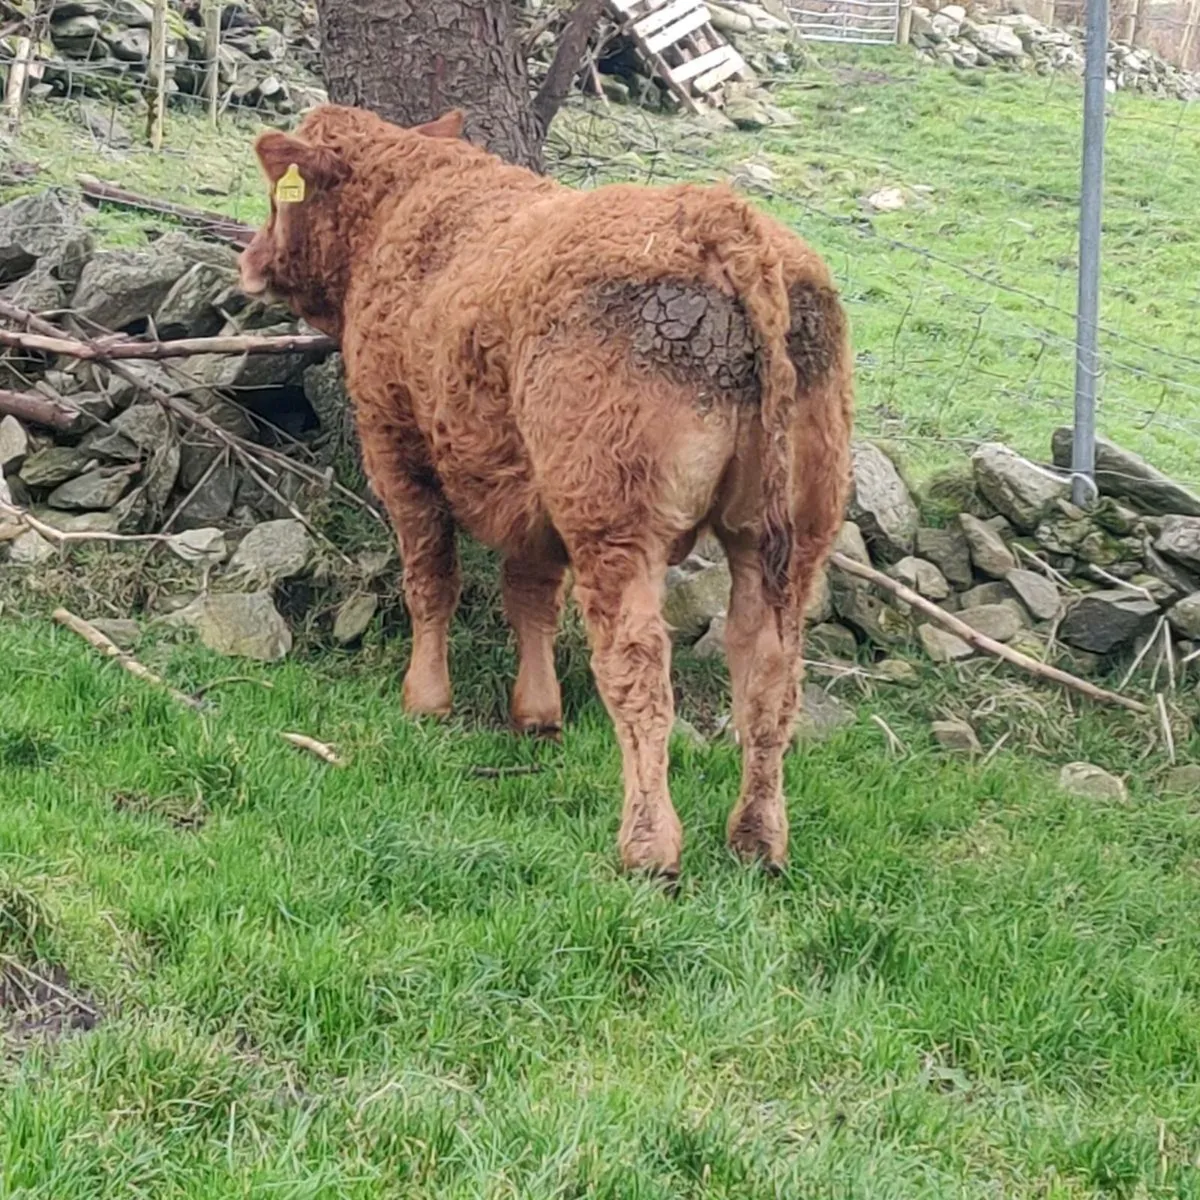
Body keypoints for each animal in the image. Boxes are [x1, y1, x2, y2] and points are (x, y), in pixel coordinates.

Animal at [240, 104, 853, 877]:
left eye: (278, 196)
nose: (251, 259)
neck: (404, 208)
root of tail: (725, 223)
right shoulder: (530, 490)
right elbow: (529, 595)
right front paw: (536, 714)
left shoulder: (397, 448)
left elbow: (431, 578)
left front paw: (426, 698)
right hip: (789, 535)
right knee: (769, 674)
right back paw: (757, 839)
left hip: (616, 524)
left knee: (638, 666)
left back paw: (649, 845)